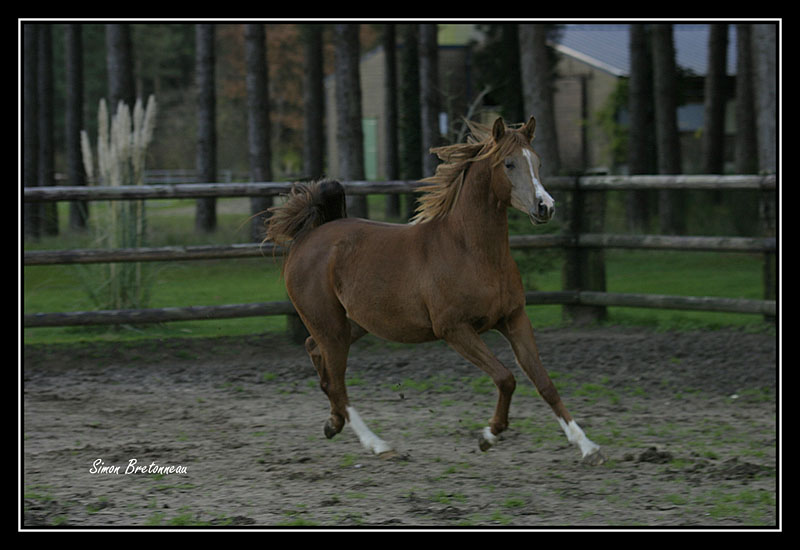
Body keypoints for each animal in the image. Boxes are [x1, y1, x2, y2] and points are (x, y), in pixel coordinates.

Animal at [266, 116, 606, 465]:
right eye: (509, 163)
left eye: (537, 162)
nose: (545, 207)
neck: (472, 252)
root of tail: (309, 237)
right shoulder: (454, 329)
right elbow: (506, 378)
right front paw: (489, 435)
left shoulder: (514, 319)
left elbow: (544, 382)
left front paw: (588, 447)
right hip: (331, 327)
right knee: (337, 384)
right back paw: (378, 444)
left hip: (352, 324)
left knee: (315, 353)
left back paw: (332, 424)